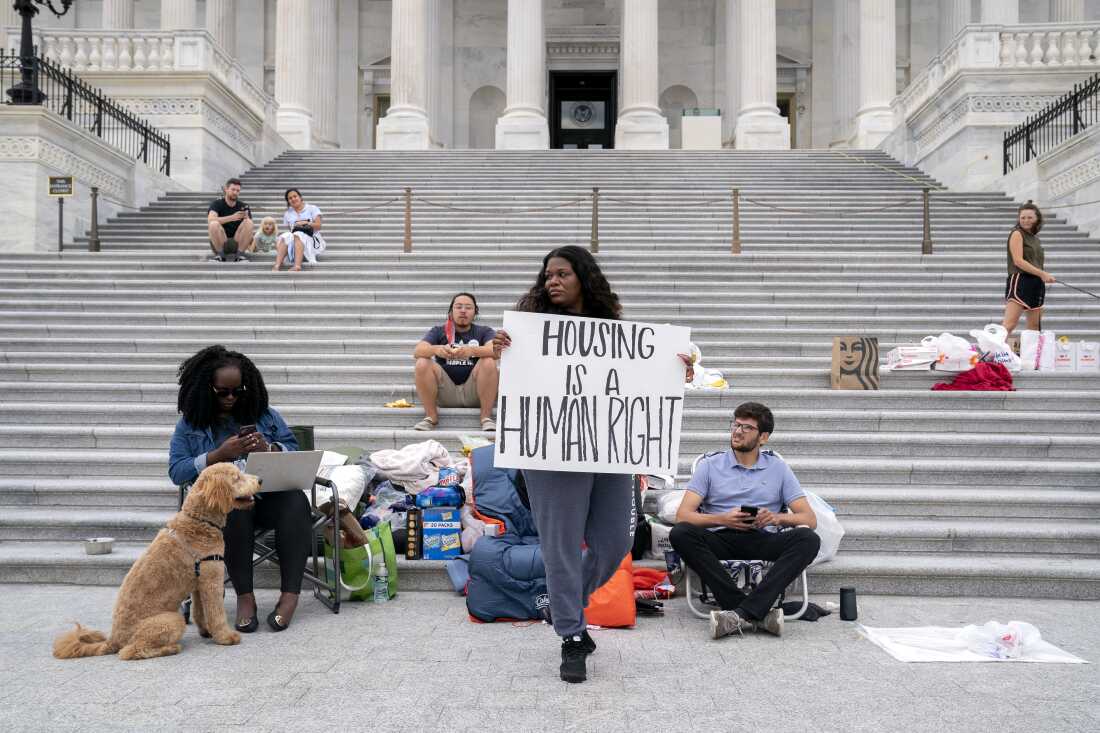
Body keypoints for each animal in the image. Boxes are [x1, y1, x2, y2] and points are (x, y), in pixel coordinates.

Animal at [52, 462, 260, 655]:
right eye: (237, 478)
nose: (260, 480)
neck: (199, 521)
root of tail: (114, 639)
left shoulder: (199, 582)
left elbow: (200, 612)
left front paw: (206, 631)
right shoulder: (212, 580)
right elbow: (216, 613)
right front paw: (226, 637)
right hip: (170, 620)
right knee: (131, 651)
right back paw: (170, 648)